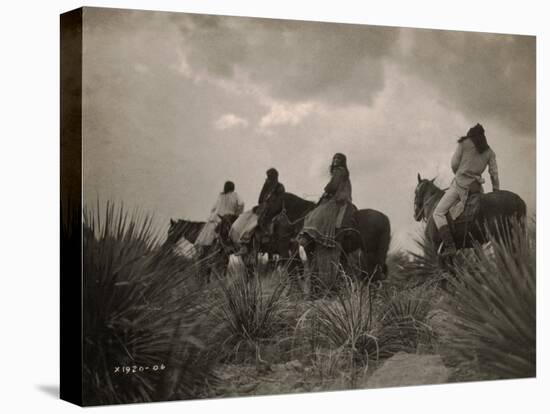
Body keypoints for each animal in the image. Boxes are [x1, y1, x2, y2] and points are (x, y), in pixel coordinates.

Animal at [264, 192, 392, 286]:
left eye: (271, 201)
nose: (264, 218)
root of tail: (386, 218)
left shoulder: (309, 249)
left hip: (373, 252)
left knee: (376, 272)